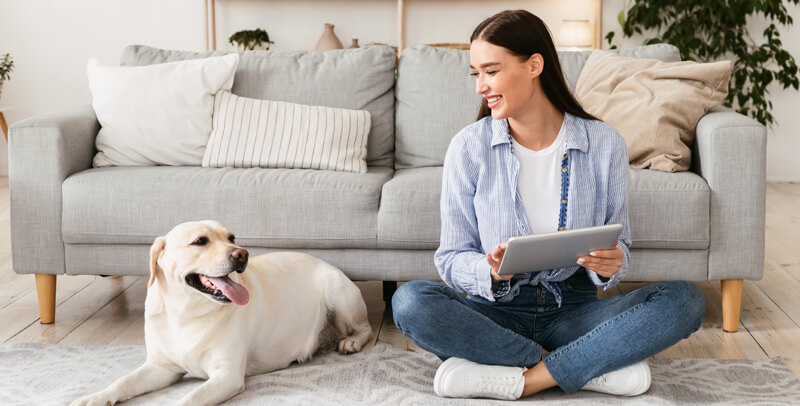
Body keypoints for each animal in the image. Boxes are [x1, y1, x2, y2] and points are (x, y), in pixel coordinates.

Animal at [71, 222, 372, 406]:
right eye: (199, 241)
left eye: (231, 238)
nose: (242, 254)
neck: (186, 313)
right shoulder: (161, 367)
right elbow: (123, 381)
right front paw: (95, 397)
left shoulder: (226, 375)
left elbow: (189, 399)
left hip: (338, 295)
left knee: (365, 328)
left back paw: (351, 342)